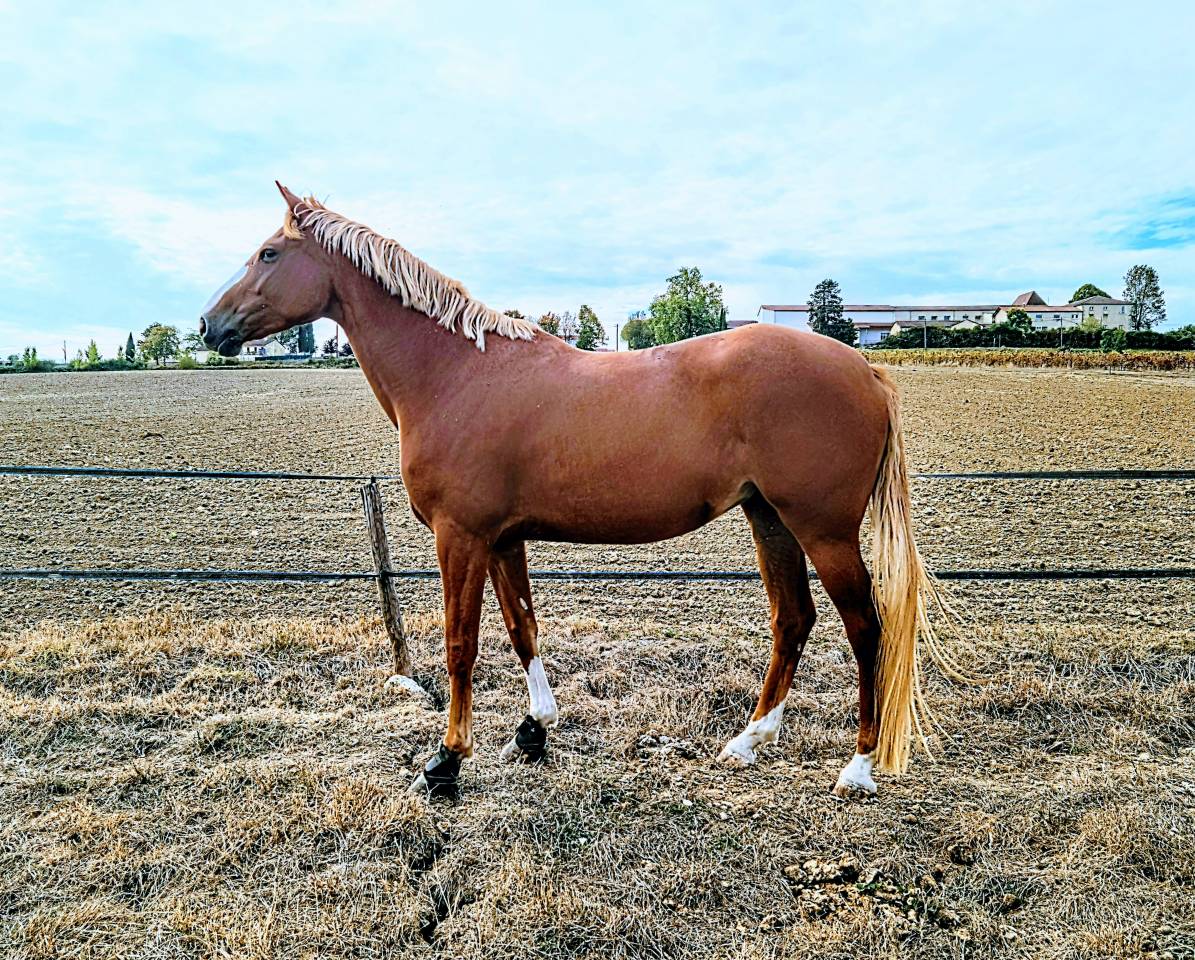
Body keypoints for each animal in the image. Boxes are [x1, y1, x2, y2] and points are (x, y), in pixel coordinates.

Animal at [201, 183, 953, 798]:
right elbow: (521, 628)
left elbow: (461, 643)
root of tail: (864, 367)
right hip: (769, 517)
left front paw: (446, 762)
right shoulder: (503, 539)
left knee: (865, 627)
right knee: (792, 619)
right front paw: (534, 728)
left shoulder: (460, 536)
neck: (456, 375)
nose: (210, 326)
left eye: (268, 253)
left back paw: (857, 767)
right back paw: (747, 741)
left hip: (823, 530)